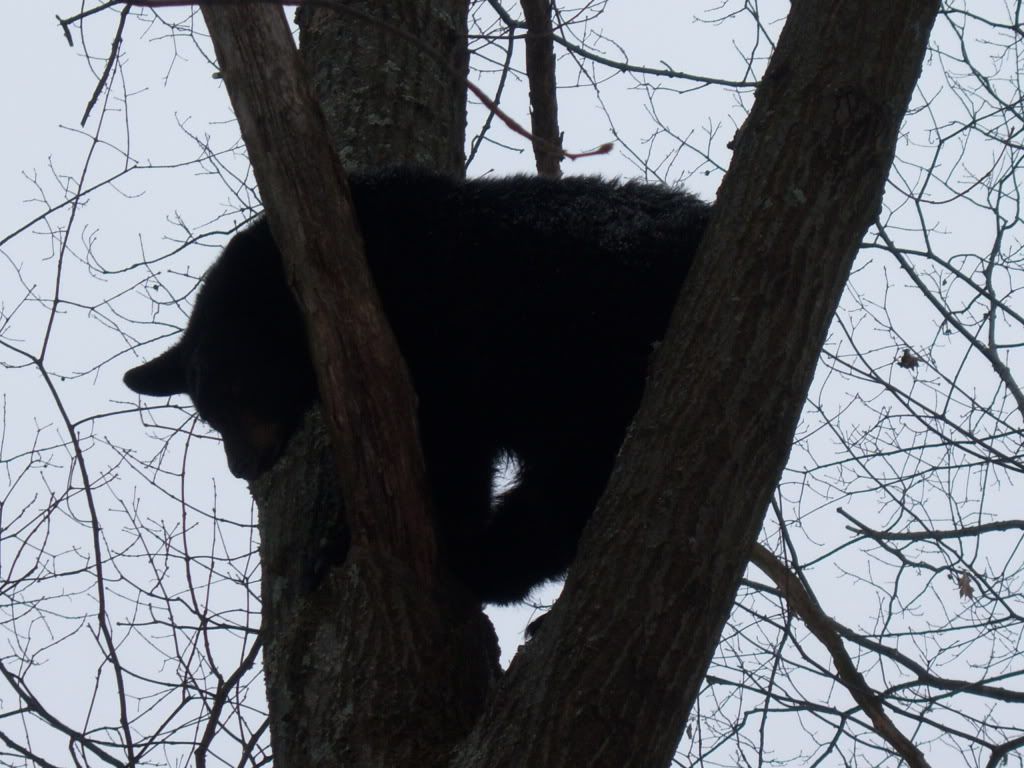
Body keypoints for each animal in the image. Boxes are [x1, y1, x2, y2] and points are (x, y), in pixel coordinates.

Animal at [123, 169, 708, 606]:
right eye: (208, 414)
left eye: (238, 391)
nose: (243, 466)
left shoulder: (439, 338)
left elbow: (449, 447)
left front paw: (345, 544)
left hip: (593, 345)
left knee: (577, 469)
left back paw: (492, 564)